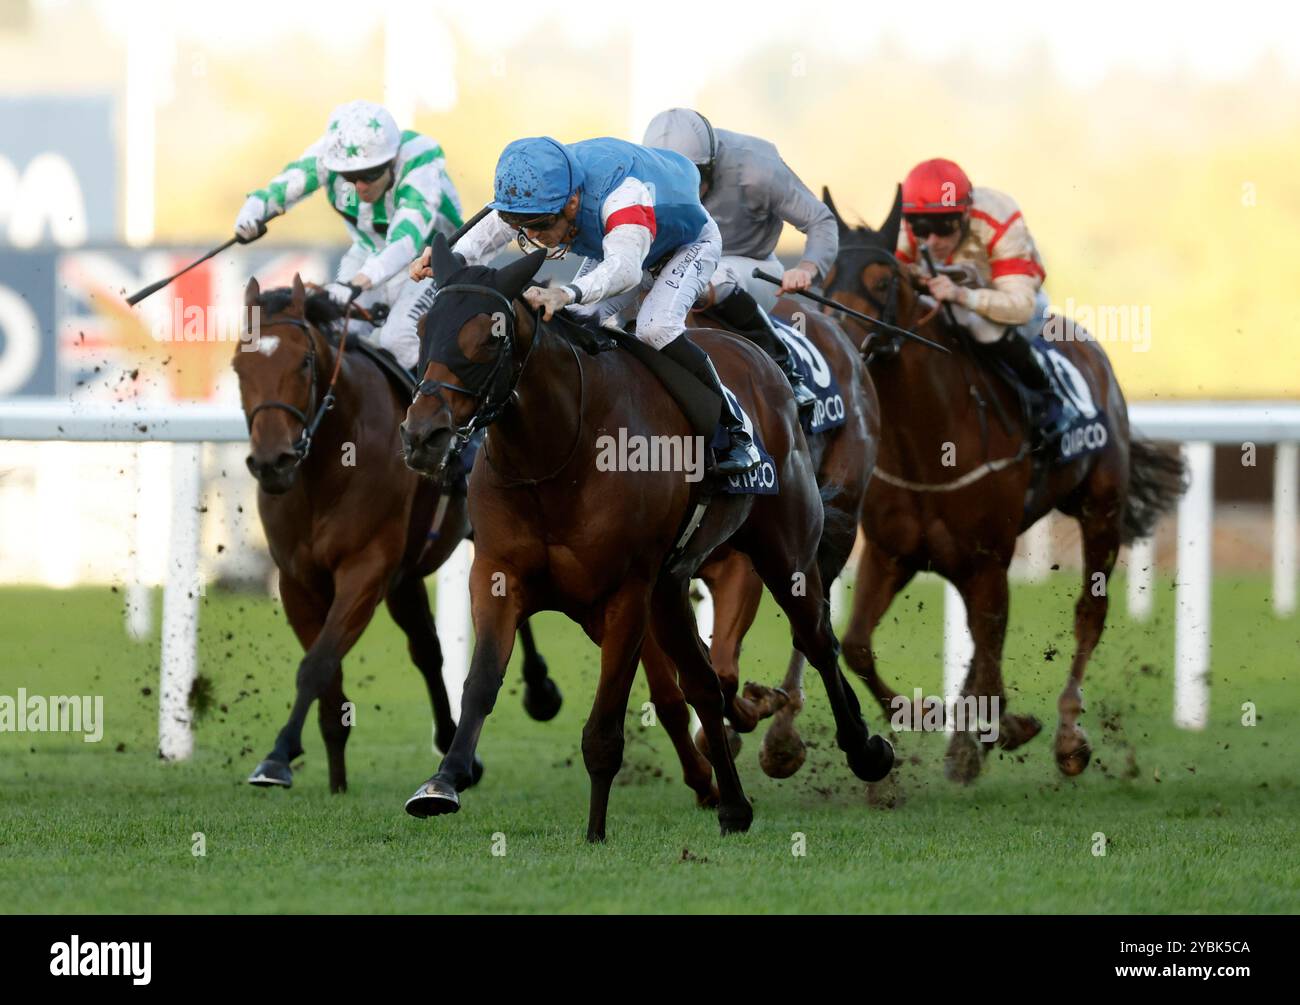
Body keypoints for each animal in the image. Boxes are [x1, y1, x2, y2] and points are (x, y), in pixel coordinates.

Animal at [233, 274, 559, 790]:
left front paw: (278, 756)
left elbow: (316, 664)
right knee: (427, 648)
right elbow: (329, 675)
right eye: (237, 365)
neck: (327, 467)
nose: (272, 463)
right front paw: (336, 779)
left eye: (303, 361)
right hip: (406, 577)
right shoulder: (298, 581)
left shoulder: (366, 569)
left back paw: (539, 690)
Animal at [400, 236, 899, 837]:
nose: (422, 435)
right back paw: (735, 805)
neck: (557, 451)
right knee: (705, 682)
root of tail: (762, 359)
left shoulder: (626, 594)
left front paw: (595, 832)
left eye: (488, 337)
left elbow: (606, 725)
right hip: (672, 586)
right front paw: (442, 782)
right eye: (424, 328)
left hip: (785, 551)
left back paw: (861, 751)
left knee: (817, 639)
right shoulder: (499, 575)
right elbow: (480, 683)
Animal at [821, 189, 1190, 785]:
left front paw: (998, 726)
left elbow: (992, 644)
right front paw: (925, 714)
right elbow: (856, 644)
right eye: (826, 273)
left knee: (1088, 615)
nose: (838, 339)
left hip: (1101, 510)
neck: (927, 441)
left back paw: (1067, 735)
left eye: (883, 280)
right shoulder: (891, 551)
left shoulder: (987, 556)